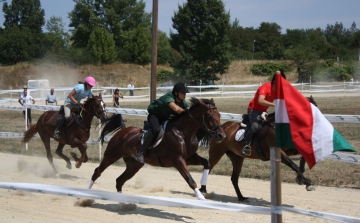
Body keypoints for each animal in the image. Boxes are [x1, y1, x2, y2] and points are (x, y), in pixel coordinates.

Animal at [86, 97, 225, 200]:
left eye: (219, 115)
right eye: (210, 116)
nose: (221, 135)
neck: (183, 132)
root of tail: (123, 131)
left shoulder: (189, 158)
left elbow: (206, 163)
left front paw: (204, 188)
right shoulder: (178, 160)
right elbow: (190, 179)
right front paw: (201, 197)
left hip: (134, 165)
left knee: (119, 180)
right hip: (111, 155)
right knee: (98, 171)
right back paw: (85, 191)